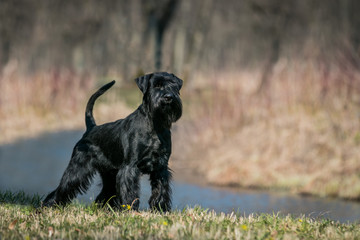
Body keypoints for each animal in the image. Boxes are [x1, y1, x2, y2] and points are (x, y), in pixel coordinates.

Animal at [43, 72, 183, 211]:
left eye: (174, 85)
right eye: (156, 85)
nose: (169, 97)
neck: (155, 124)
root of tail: (91, 128)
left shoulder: (161, 167)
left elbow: (160, 190)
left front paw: (160, 209)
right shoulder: (129, 167)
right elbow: (129, 191)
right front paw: (130, 209)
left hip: (110, 174)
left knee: (104, 194)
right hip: (78, 169)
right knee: (63, 187)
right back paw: (49, 205)